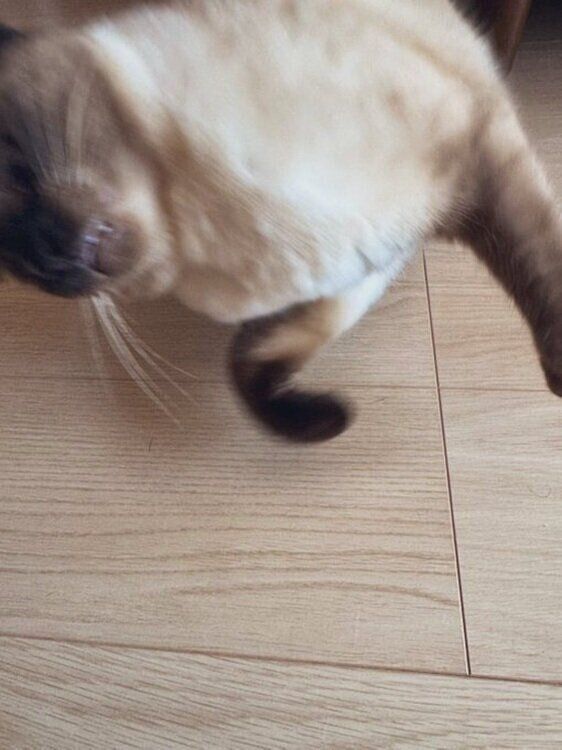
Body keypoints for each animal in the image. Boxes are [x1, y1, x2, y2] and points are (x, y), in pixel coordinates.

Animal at [0, 0, 560, 442]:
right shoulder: (352, 275)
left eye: (17, 177)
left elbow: (538, 263)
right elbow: (248, 366)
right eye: (34, 278)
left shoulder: (473, 154)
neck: (193, 230)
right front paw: (330, 419)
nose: (51, 259)